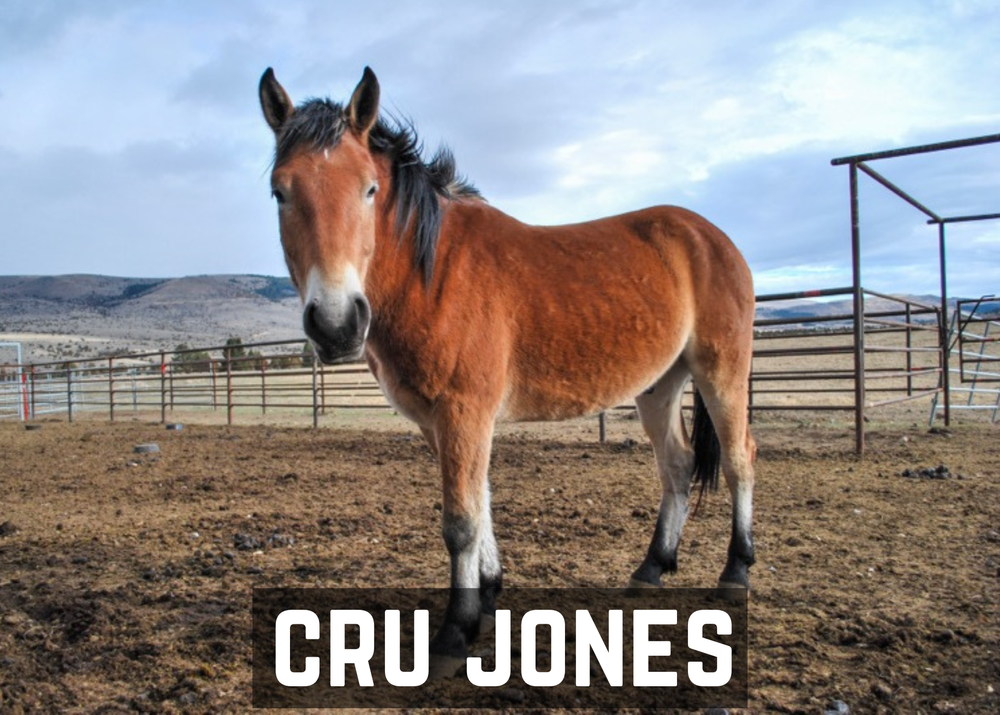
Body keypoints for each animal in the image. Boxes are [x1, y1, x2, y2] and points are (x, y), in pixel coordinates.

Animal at [258, 66, 757, 675]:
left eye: (368, 189)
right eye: (280, 191)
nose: (335, 324)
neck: (432, 272)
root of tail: (711, 237)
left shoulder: (464, 411)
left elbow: (461, 521)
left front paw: (455, 632)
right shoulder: (438, 421)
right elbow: (480, 502)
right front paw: (488, 599)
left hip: (721, 370)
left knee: (738, 459)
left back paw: (735, 570)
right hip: (659, 385)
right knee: (679, 466)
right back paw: (652, 568)